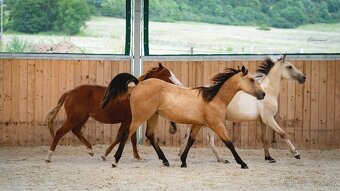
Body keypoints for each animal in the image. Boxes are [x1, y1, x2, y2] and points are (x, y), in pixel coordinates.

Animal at [45, 63, 183, 162]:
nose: (180, 85)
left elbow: (127, 138)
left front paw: (133, 156)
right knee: (60, 132)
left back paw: (90, 150)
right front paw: (108, 155)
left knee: (76, 130)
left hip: (82, 118)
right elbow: (123, 136)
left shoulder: (129, 121)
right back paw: (49, 156)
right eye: (168, 74)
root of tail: (70, 92)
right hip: (74, 118)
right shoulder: (129, 121)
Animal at [101, 65, 266, 169]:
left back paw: (165, 161)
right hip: (139, 117)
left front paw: (183, 161)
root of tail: (138, 84)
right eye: (252, 80)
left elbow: (190, 141)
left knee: (150, 135)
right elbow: (229, 143)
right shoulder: (217, 124)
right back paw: (115, 160)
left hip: (153, 116)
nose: (263, 94)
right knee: (126, 134)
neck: (213, 98)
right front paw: (243, 163)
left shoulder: (198, 124)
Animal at [177, 54, 306, 163]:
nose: (303, 78)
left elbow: (264, 139)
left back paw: (182, 154)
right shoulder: (269, 119)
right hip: (212, 122)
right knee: (209, 140)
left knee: (190, 134)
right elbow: (283, 133)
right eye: (290, 66)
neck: (268, 92)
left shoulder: (263, 121)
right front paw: (296, 153)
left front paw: (269, 158)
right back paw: (221, 159)